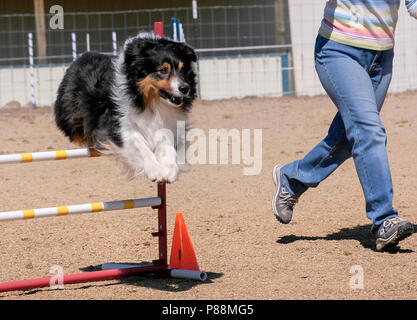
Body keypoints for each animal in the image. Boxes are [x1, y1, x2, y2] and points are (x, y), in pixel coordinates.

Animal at [54, 32, 198, 184]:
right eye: (163, 70)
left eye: (183, 69)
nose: (185, 88)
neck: (150, 101)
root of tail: (82, 56)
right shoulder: (118, 124)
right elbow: (140, 145)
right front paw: (155, 170)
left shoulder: (168, 123)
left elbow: (168, 147)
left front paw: (169, 170)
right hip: (72, 113)